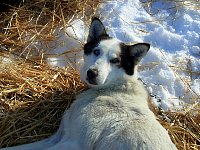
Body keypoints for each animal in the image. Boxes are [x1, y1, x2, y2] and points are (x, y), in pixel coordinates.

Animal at [1, 17, 177, 150]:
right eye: (96, 51)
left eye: (115, 60)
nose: (92, 73)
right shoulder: (61, 135)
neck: (111, 89)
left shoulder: (73, 144)